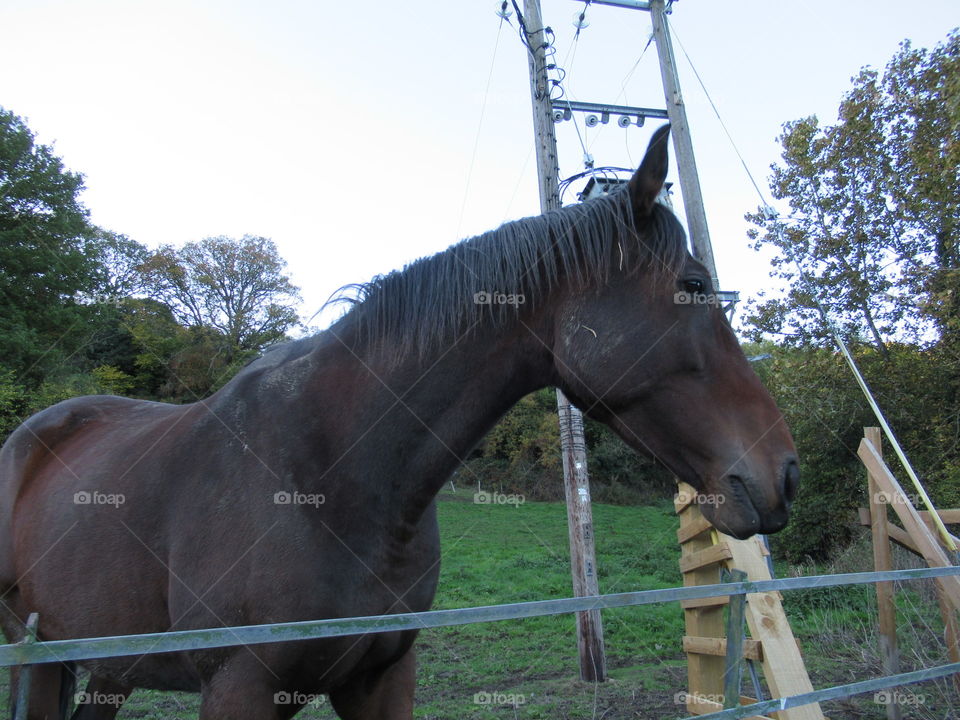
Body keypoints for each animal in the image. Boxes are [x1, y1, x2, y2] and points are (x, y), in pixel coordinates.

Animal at [0, 126, 796, 716]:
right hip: (38, 662)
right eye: (693, 284)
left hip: (105, 668)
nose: (784, 472)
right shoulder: (239, 686)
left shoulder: (381, 678)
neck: (334, 471)